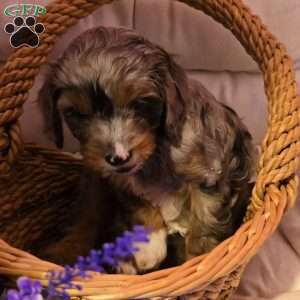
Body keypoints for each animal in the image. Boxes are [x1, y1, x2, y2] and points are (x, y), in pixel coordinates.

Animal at [38, 27, 255, 270]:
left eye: (140, 103)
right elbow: (139, 203)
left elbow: (205, 220)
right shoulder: (121, 181)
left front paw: (199, 261)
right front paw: (147, 245)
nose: (118, 157)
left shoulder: (210, 173)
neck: (156, 153)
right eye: (76, 114)